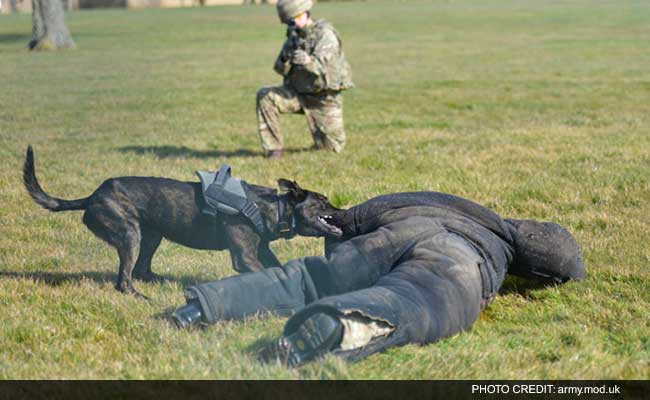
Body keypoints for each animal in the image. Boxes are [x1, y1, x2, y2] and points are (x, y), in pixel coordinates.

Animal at [24, 147, 340, 296]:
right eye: (324, 202)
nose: (343, 210)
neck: (273, 207)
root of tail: (91, 197)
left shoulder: (261, 249)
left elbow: (276, 267)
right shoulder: (244, 257)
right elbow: (262, 272)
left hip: (151, 236)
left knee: (142, 269)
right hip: (128, 233)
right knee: (124, 280)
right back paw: (140, 297)